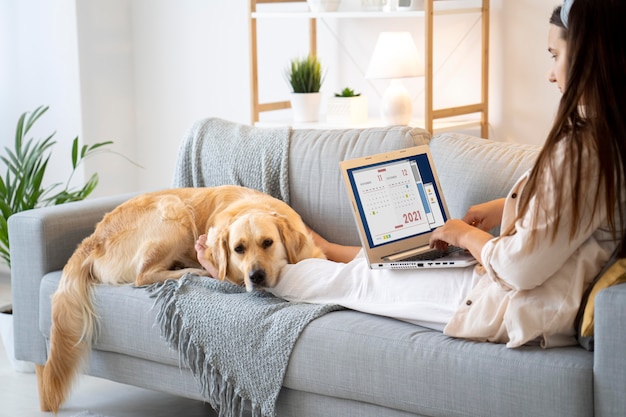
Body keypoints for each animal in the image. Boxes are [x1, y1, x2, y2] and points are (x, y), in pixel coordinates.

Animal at [39, 186, 324, 412]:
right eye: (238, 249)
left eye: (268, 242)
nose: (256, 276)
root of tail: (93, 238)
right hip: (175, 211)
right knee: (143, 275)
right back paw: (194, 270)